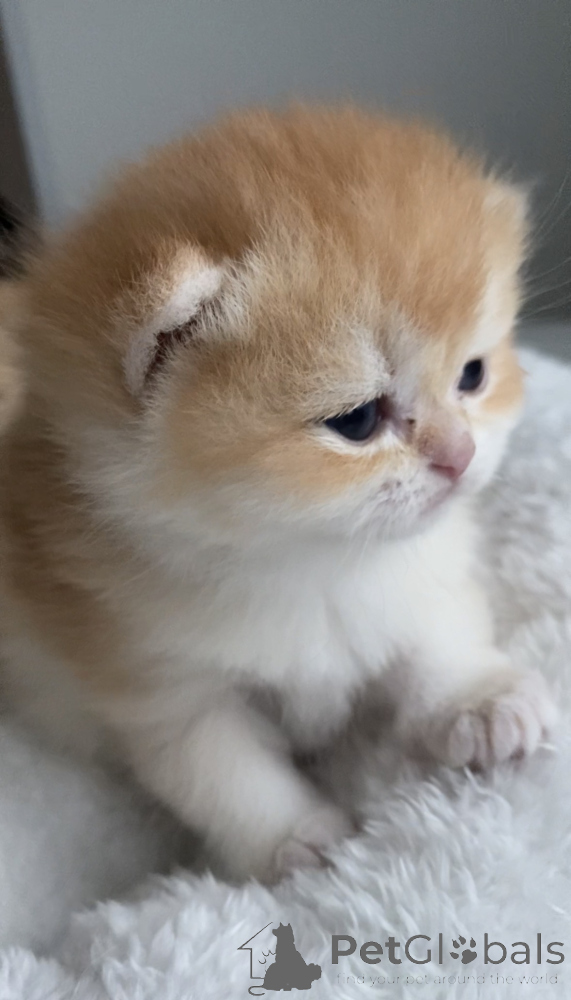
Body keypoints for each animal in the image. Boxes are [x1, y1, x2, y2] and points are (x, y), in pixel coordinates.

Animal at [0, 106, 556, 883]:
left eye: (472, 376)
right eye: (357, 421)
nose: (460, 456)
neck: (311, 560)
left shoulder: (419, 572)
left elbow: (437, 633)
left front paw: (480, 699)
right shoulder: (164, 687)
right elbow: (226, 777)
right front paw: (299, 842)